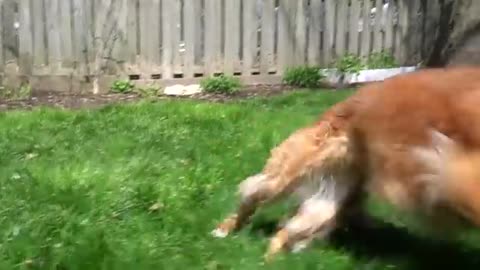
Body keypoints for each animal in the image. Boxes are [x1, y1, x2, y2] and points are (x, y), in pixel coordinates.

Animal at [213, 65, 480, 260]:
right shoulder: (457, 173)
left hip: (329, 201)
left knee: (284, 232)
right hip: (285, 178)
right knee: (251, 196)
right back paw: (226, 230)